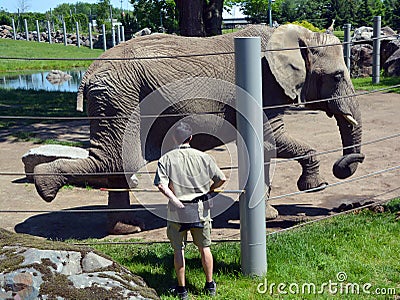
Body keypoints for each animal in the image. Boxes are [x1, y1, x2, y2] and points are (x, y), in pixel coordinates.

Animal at [34, 24, 364, 234]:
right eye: (337, 76)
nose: (344, 166)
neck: (295, 35)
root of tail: (89, 71)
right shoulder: (262, 86)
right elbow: (270, 143)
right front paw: (312, 187)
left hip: (113, 99)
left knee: (115, 164)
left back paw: (126, 229)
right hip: (120, 99)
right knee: (113, 161)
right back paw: (45, 186)